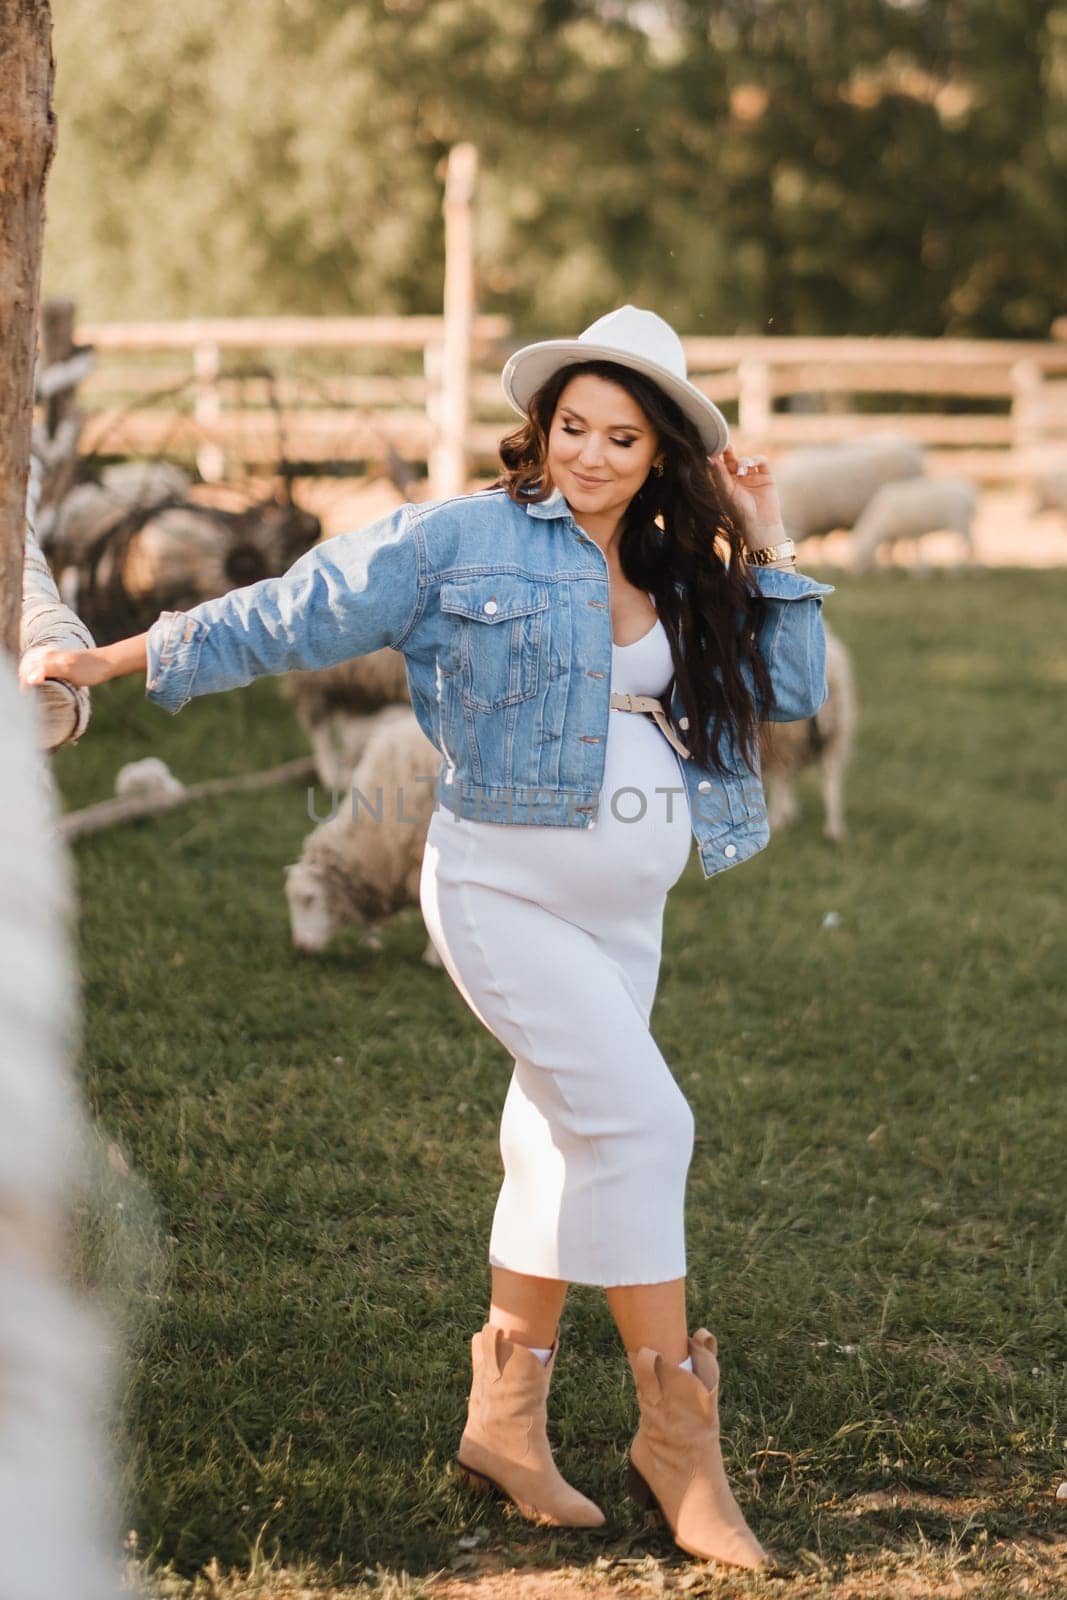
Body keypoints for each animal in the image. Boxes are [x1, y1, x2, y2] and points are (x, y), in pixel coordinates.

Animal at [755, 624, 857, 844]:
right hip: (834, 737)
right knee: (830, 782)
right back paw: (833, 831)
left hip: (782, 737)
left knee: (781, 778)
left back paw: (776, 823)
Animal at [844, 473, 979, 576]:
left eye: (856, 555)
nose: (853, 574)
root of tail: (970, 492)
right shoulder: (903, 533)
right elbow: (895, 550)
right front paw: (890, 571)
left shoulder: (909, 531)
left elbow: (911, 549)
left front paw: (918, 572)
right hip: (963, 522)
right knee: (971, 543)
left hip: (958, 520)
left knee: (967, 543)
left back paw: (959, 570)